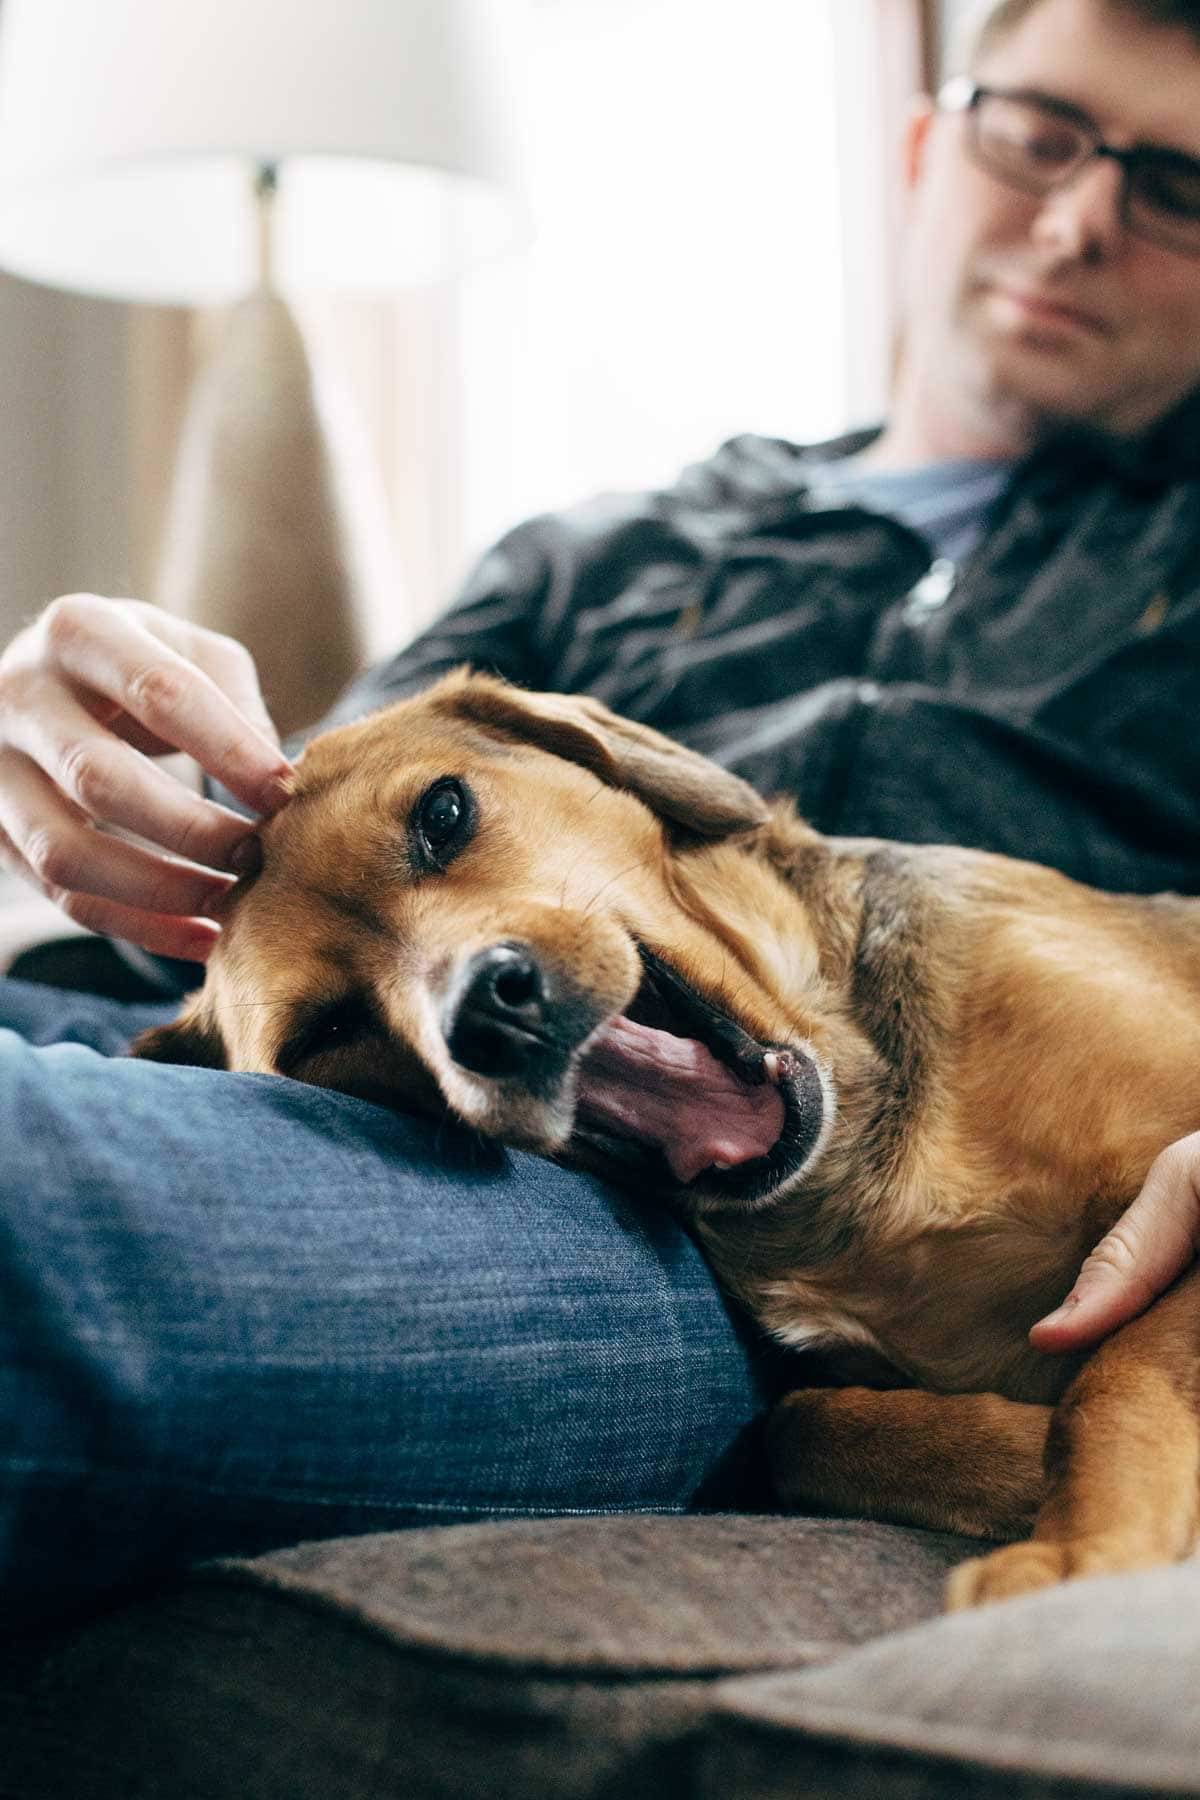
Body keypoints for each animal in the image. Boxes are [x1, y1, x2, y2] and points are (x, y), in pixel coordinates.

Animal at [135, 673, 1200, 1605]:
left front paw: (1080, 1555)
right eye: (323, 1033)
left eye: (442, 814)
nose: (488, 1015)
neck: (850, 1180)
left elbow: (1115, 1376)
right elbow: (797, 1427)